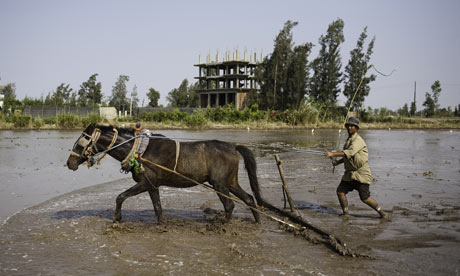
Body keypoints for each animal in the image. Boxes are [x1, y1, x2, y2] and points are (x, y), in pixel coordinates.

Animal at [66, 124, 264, 223]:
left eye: (80, 143)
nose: (69, 163)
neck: (140, 150)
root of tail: (232, 146)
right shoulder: (152, 185)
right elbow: (157, 208)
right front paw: (162, 225)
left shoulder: (146, 183)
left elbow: (120, 197)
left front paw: (117, 218)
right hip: (230, 182)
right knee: (249, 199)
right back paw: (257, 221)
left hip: (219, 184)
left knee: (230, 205)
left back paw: (221, 226)